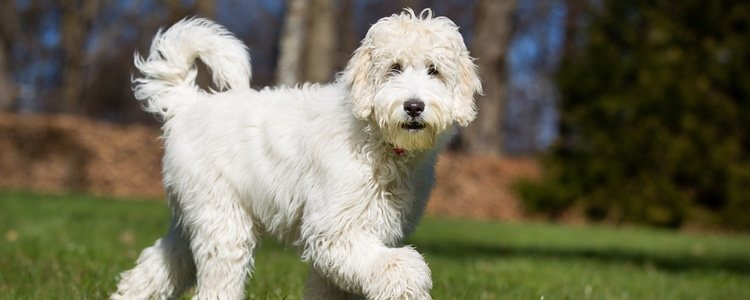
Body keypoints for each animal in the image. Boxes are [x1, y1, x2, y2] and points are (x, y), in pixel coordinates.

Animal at [114, 9, 484, 300]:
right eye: (394, 68)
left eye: (434, 70)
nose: (414, 106)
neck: (375, 141)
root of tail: (189, 104)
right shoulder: (335, 231)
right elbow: (398, 266)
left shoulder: (355, 236)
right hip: (224, 224)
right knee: (214, 285)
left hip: (194, 218)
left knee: (159, 266)